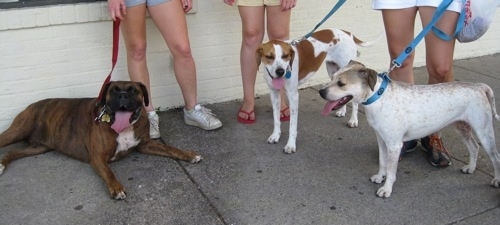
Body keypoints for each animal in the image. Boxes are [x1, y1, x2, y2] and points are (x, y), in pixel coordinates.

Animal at [0, 80, 203, 199]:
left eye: (133, 90)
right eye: (113, 91)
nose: (123, 95)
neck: (123, 126)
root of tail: (31, 105)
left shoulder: (145, 145)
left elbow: (171, 149)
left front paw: (189, 155)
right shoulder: (97, 157)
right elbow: (109, 172)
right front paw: (116, 188)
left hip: (38, 147)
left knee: (13, 152)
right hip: (19, 130)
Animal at [318, 60, 498, 198]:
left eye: (341, 83)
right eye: (332, 77)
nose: (321, 91)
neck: (379, 97)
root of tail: (479, 86)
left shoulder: (394, 145)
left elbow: (391, 171)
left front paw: (386, 189)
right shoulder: (382, 140)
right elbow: (383, 162)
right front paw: (380, 177)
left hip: (484, 131)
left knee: (495, 156)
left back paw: (496, 180)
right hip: (462, 128)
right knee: (474, 147)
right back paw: (471, 168)